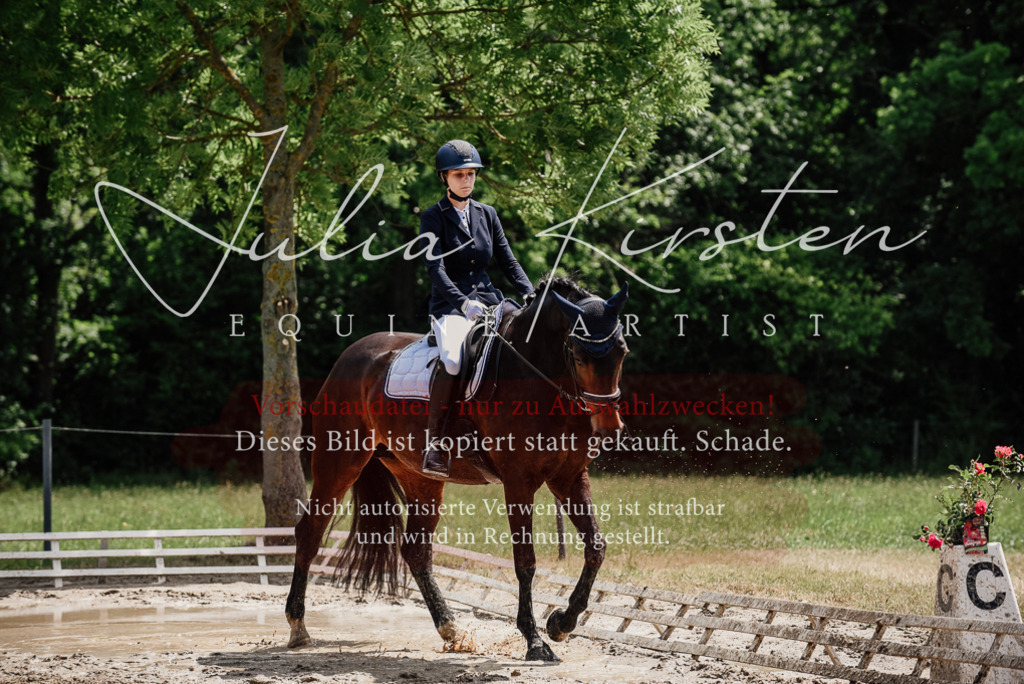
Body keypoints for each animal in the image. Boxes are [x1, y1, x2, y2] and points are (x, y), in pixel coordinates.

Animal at [285, 275, 630, 661]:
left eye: (622, 351)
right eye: (579, 356)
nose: (610, 430)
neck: (538, 373)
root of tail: (350, 355)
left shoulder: (568, 477)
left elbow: (596, 548)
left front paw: (561, 623)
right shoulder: (519, 482)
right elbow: (525, 561)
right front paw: (535, 641)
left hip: (419, 478)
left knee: (416, 550)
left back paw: (451, 628)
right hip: (339, 463)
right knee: (310, 532)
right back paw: (298, 628)